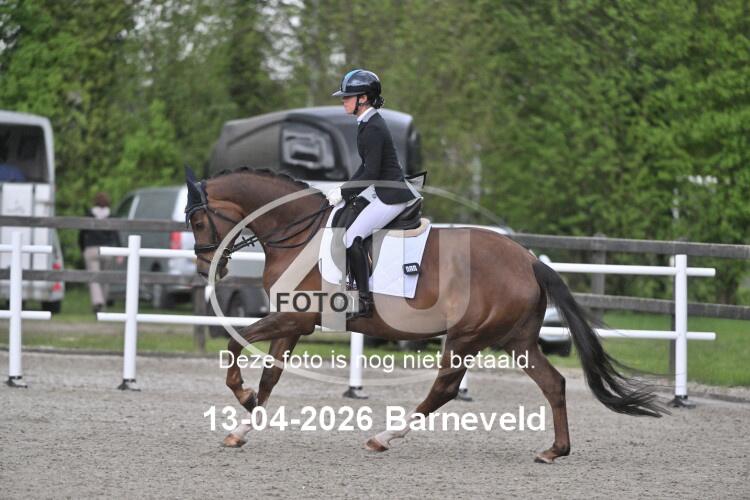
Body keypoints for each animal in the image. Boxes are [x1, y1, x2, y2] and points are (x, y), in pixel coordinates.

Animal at [185, 167, 664, 463]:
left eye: (196, 220)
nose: (207, 270)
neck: (298, 231)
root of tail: (529, 259)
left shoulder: (296, 319)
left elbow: (233, 344)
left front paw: (242, 395)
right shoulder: (291, 320)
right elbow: (270, 376)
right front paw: (243, 427)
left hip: (467, 337)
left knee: (444, 390)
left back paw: (383, 437)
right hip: (516, 340)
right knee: (553, 383)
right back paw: (554, 451)